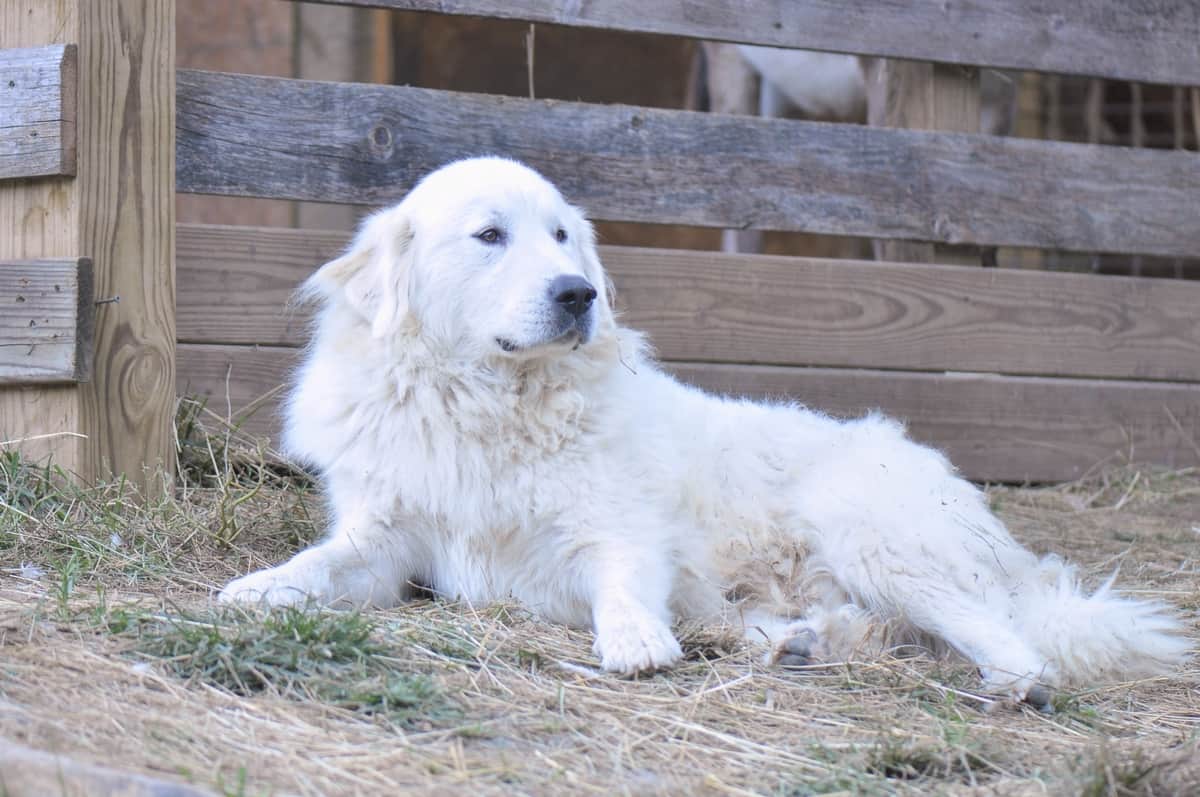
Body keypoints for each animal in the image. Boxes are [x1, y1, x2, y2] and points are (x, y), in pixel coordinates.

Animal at [220, 156, 1185, 705]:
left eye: (562, 235)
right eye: (489, 235)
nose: (580, 292)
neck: (487, 400)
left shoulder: (614, 529)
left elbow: (619, 580)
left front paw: (634, 642)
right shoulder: (387, 539)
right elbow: (321, 562)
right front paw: (259, 588)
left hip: (873, 534)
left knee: (1017, 647)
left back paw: (1003, 689)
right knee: (858, 629)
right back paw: (799, 644)